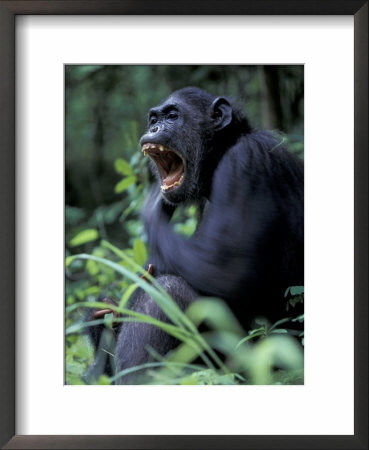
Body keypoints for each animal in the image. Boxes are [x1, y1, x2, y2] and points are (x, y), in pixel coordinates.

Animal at [88, 87, 302, 384]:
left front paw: (151, 206)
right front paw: (102, 312)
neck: (219, 157)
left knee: (168, 290)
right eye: (153, 119)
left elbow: (225, 271)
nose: (154, 128)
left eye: (172, 116)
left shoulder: (246, 161)